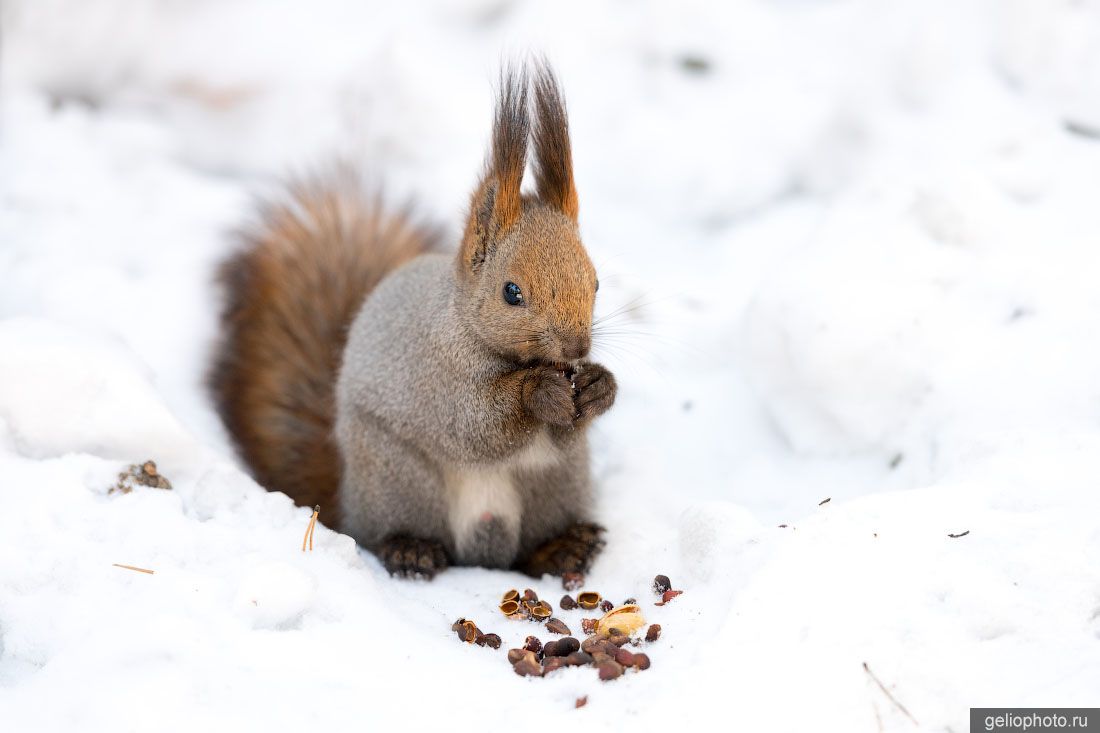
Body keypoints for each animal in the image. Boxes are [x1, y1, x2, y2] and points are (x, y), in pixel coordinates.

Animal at [209, 59, 616, 576]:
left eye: (597, 283)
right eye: (511, 292)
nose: (577, 349)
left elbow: (562, 433)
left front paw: (600, 385)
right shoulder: (433, 376)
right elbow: (476, 425)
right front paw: (538, 393)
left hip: (557, 485)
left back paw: (562, 546)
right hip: (398, 478)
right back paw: (410, 547)